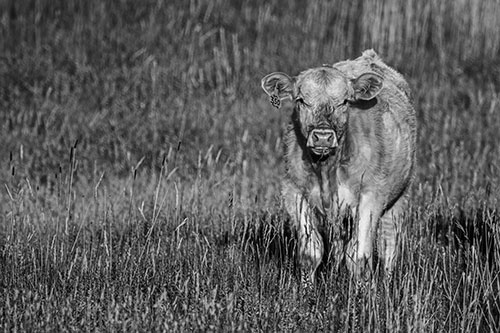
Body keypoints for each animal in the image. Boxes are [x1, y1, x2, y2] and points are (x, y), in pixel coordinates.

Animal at [260, 48, 416, 286]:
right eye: (301, 100)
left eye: (344, 101)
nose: (323, 136)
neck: (327, 169)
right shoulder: (294, 192)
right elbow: (310, 252)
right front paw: (306, 290)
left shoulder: (371, 196)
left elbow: (359, 256)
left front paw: (362, 292)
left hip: (401, 195)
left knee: (389, 241)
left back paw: (388, 280)